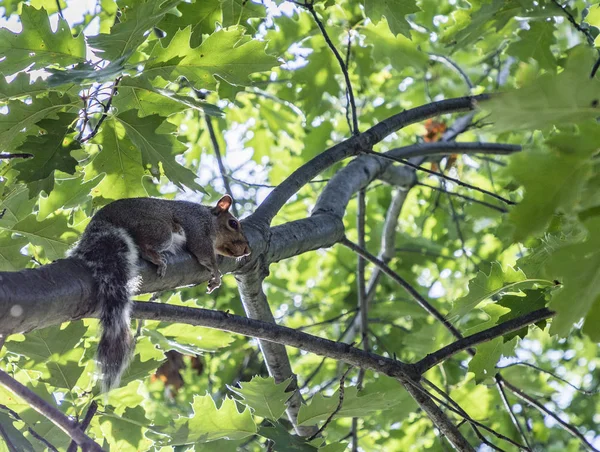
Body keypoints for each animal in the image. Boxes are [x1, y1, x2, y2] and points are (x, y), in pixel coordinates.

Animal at [67, 195, 250, 392]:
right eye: (233, 223)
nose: (248, 250)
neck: (209, 218)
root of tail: (101, 221)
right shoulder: (197, 227)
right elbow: (203, 252)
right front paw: (216, 274)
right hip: (159, 229)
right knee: (144, 245)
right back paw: (155, 257)